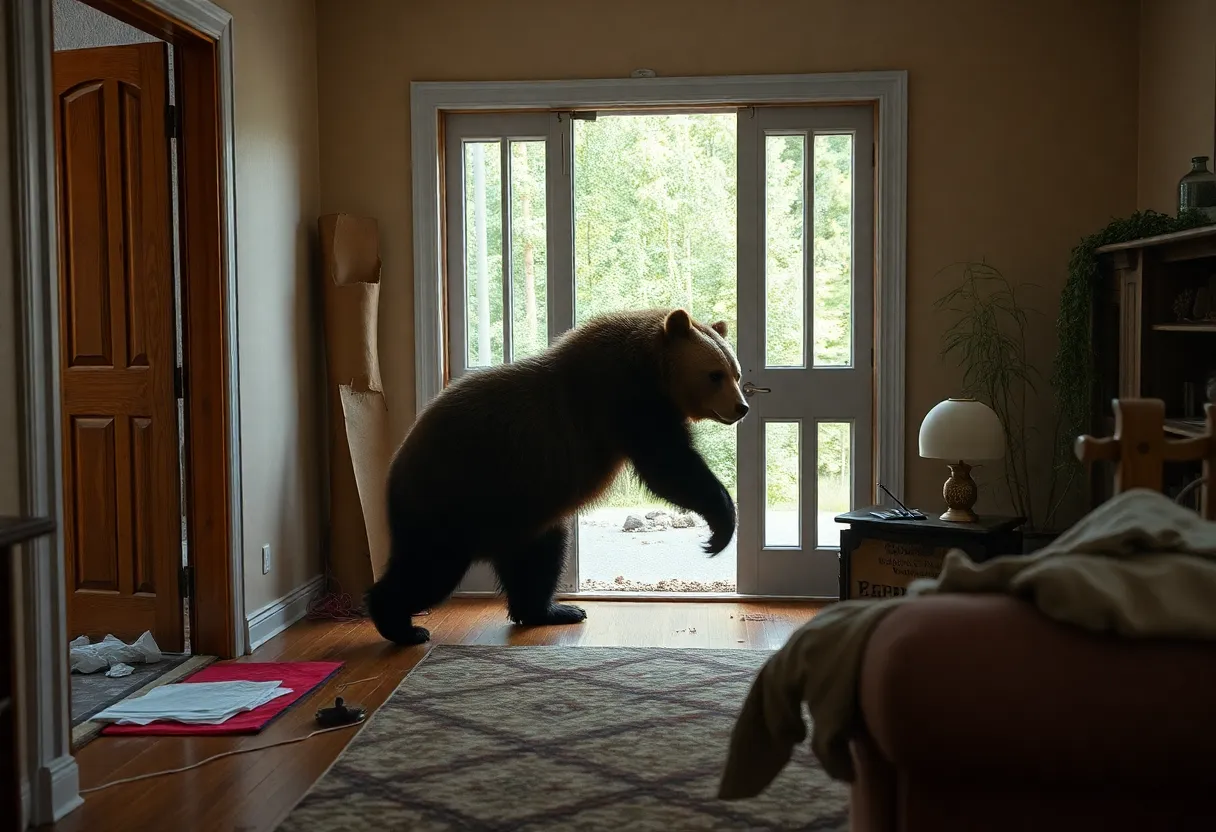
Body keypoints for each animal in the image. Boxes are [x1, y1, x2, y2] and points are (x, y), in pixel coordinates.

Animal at [366, 307, 750, 646]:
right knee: (430, 567)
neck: (649, 366)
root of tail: (398, 459)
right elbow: (668, 465)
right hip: (458, 493)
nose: (741, 407)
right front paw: (719, 527)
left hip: (525, 509)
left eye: (736, 372)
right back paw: (401, 625)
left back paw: (552, 610)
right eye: (715, 374)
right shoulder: (624, 400)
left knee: (541, 556)